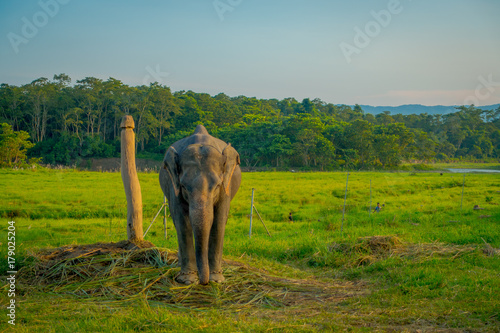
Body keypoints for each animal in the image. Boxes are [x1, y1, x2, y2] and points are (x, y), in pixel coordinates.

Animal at [158, 123, 240, 284]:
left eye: (217, 186)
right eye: (184, 186)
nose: (204, 282)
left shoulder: (225, 188)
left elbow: (219, 221)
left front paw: (216, 279)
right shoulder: (173, 186)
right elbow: (182, 222)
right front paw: (187, 280)